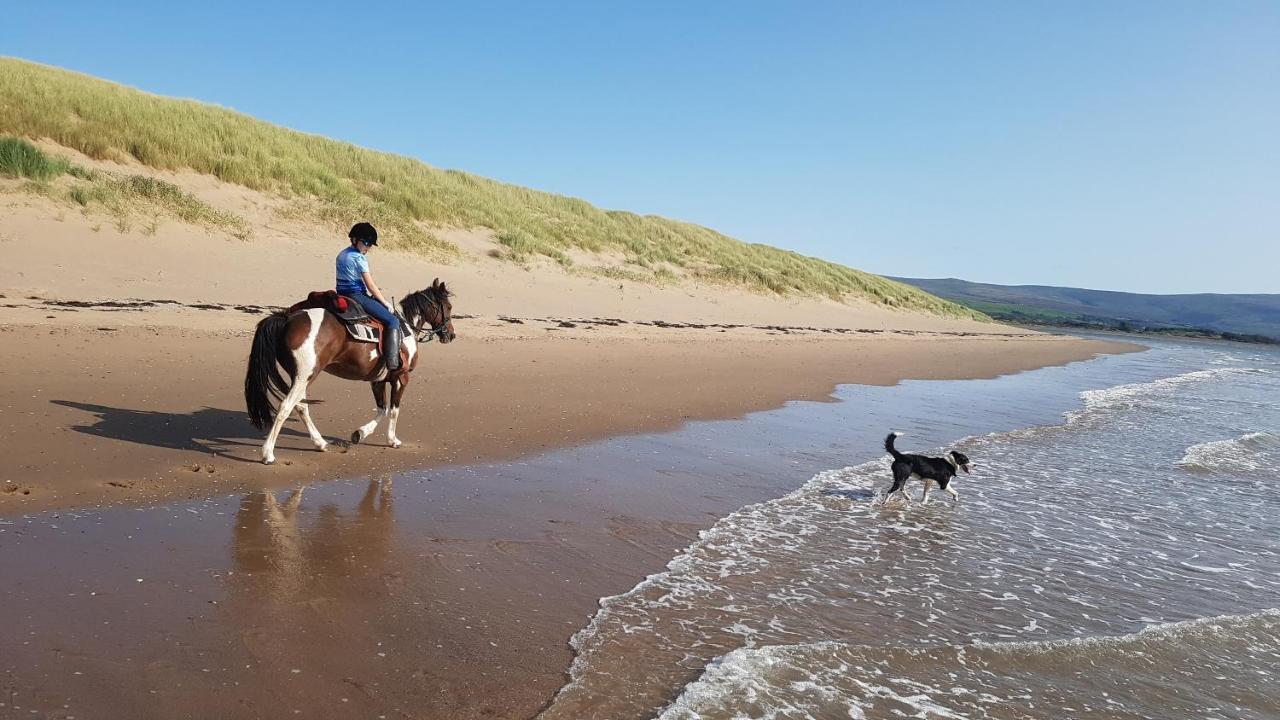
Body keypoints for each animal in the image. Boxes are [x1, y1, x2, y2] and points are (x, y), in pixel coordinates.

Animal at [241, 278, 458, 461]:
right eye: (448, 307)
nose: (451, 335)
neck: (405, 327)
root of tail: (286, 319)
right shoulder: (401, 377)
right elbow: (394, 410)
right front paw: (392, 440)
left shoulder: (377, 379)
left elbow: (382, 409)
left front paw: (360, 433)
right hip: (305, 375)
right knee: (286, 406)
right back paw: (268, 453)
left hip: (302, 376)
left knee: (301, 406)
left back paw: (319, 442)